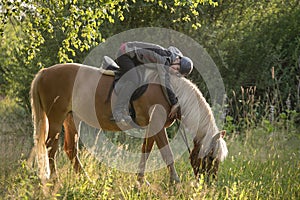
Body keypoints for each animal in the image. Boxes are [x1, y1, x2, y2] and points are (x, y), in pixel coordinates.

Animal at [28, 62, 229, 184]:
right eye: (210, 157)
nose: (209, 184)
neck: (171, 92)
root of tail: (44, 73)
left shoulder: (152, 128)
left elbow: (145, 151)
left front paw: (141, 182)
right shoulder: (157, 126)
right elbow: (167, 155)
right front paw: (176, 183)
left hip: (71, 119)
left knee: (70, 149)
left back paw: (86, 179)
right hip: (56, 118)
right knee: (51, 147)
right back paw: (54, 180)